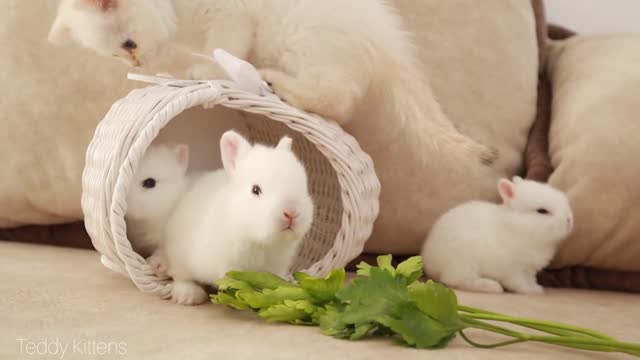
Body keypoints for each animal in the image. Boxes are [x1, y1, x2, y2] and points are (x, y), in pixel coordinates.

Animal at [420, 176, 576, 294]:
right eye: (542, 211)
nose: (569, 220)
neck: (518, 228)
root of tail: (429, 262)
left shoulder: (529, 270)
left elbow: (530, 280)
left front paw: (536, 288)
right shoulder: (514, 270)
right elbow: (518, 283)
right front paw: (531, 291)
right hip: (464, 262)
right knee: (455, 280)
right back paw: (492, 287)